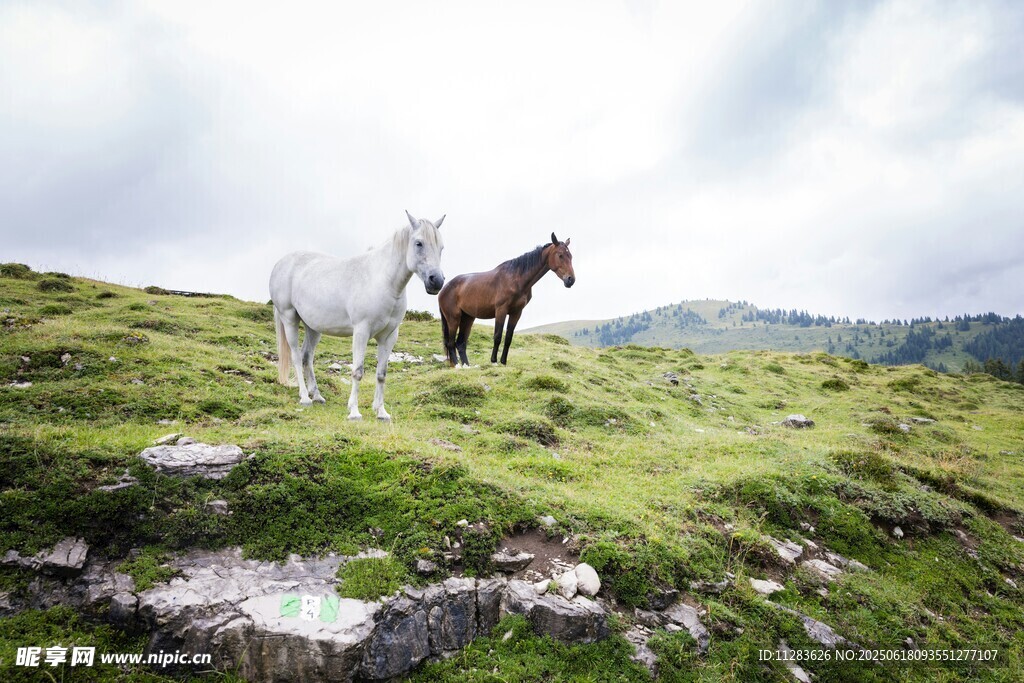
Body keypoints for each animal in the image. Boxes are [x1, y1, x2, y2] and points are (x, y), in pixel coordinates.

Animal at [269, 211, 445, 419]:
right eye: (419, 243)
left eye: (441, 247)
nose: (437, 281)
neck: (382, 281)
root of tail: (280, 264)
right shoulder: (361, 331)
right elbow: (358, 371)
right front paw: (354, 412)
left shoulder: (389, 336)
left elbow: (381, 374)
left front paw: (381, 412)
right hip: (289, 318)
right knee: (296, 356)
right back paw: (305, 398)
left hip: (313, 327)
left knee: (307, 356)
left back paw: (317, 396)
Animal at [438, 233, 574, 367]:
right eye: (560, 255)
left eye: (570, 256)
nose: (570, 280)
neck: (516, 279)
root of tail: (443, 289)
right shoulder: (501, 310)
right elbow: (498, 336)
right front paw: (494, 361)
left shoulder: (516, 313)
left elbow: (509, 337)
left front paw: (503, 361)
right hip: (454, 318)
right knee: (451, 343)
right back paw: (457, 365)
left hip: (468, 318)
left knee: (461, 343)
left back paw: (466, 366)